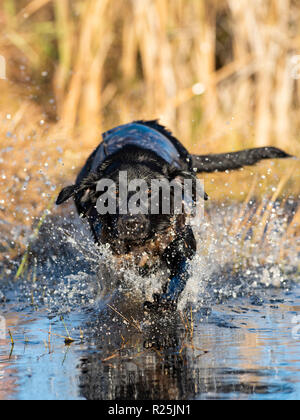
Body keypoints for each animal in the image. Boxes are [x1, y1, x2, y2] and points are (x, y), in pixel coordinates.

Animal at [55, 120, 290, 310]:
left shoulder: (181, 244)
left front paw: (166, 298)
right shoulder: (115, 255)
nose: (131, 223)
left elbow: (180, 274)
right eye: (114, 193)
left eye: (150, 192)